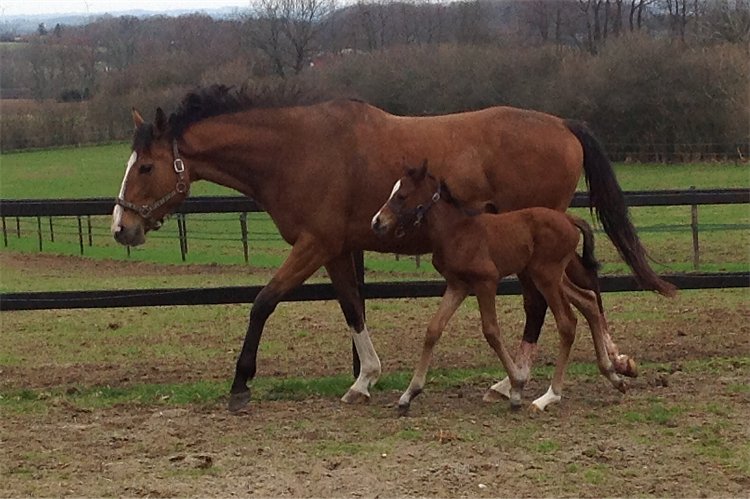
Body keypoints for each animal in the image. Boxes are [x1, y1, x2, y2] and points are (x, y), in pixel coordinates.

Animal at [374, 162, 628, 412]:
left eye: (401, 196)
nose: (377, 221)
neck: (456, 231)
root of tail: (569, 220)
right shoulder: (458, 285)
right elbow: (433, 329)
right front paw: (409, 394)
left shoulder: (486, 281)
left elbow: (491, 331)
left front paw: (516, 387)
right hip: (550, 276)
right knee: (588, 300)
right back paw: (613, 375)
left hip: (546, 276)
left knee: (567, 322)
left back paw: (550, 396)